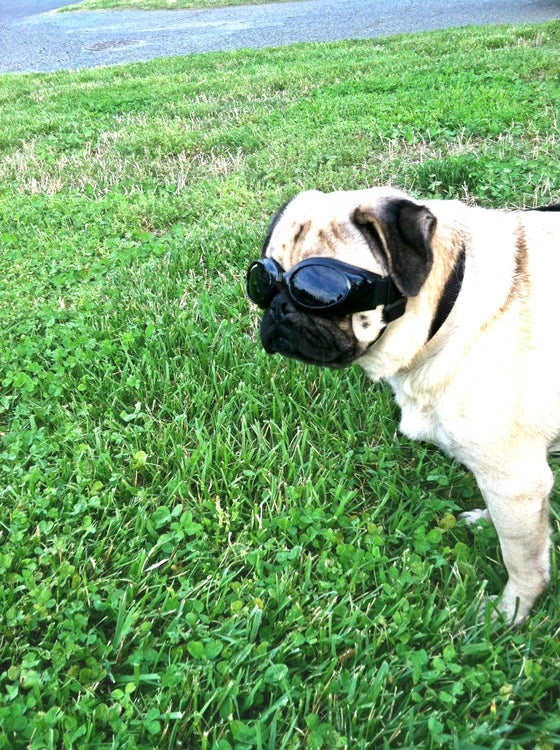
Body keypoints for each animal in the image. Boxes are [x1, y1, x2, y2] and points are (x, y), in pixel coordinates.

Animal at [246, 187, 560, 624]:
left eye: (319, 292)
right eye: (263, 280)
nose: (278, 307)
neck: (448, 304)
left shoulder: (516, 482)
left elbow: (522, 557)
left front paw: (510, 611)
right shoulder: (511, 487)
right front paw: (485, 522)